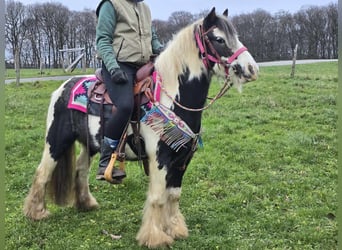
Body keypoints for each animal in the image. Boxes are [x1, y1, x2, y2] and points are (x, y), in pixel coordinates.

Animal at [23, 7, 260, 248]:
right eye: (219, 39)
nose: (251, 69)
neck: (171, 97)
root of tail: (63, 87)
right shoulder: (160, 159)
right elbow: (157, 198)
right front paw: (155, 237)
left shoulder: (182, 158)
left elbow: (174, 195)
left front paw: (176, 229)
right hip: (56, 140)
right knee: (42, 172)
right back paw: (36, 212)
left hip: (89, 144)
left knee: (80, 169)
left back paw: (86, 203)